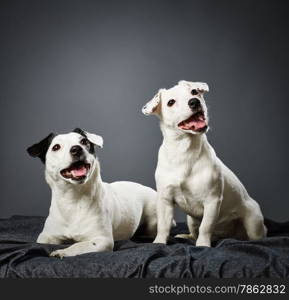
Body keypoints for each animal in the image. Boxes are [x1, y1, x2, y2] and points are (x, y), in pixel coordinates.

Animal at [27, 127, 156, 256]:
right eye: (56, 147)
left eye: (84, 142)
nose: (76, 149)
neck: (73, 199)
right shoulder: (46, 236)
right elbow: (42, 242)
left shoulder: (102, 240)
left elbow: (78, 245)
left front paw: (62, 252)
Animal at [142, 79, 266, 246]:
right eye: (171, 102)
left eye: (194, 92)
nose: (194, 101)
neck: (183, 150)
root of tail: (229, 235)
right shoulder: (165, 200)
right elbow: (163, 225)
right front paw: (159, 242)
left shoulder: (212, 201)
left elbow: (206, 227)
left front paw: (203, 245)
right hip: (191, 220)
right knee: (195, 231)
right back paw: (187, 236)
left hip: (253, 223)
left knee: (256, 235)